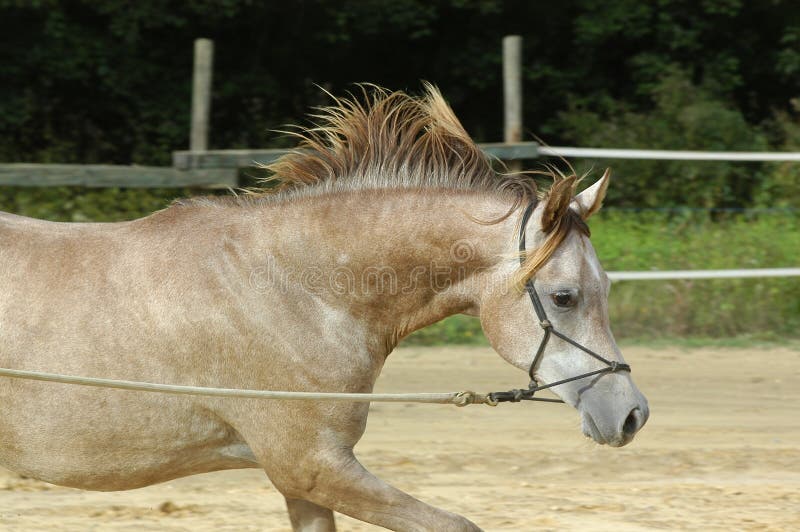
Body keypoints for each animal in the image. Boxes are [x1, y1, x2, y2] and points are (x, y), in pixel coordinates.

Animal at [0, 85, 648, 528]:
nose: (632, 414)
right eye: (564, 296)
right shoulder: (311, 466)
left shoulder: (305, 482)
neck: (293, 289)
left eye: (606, 287)